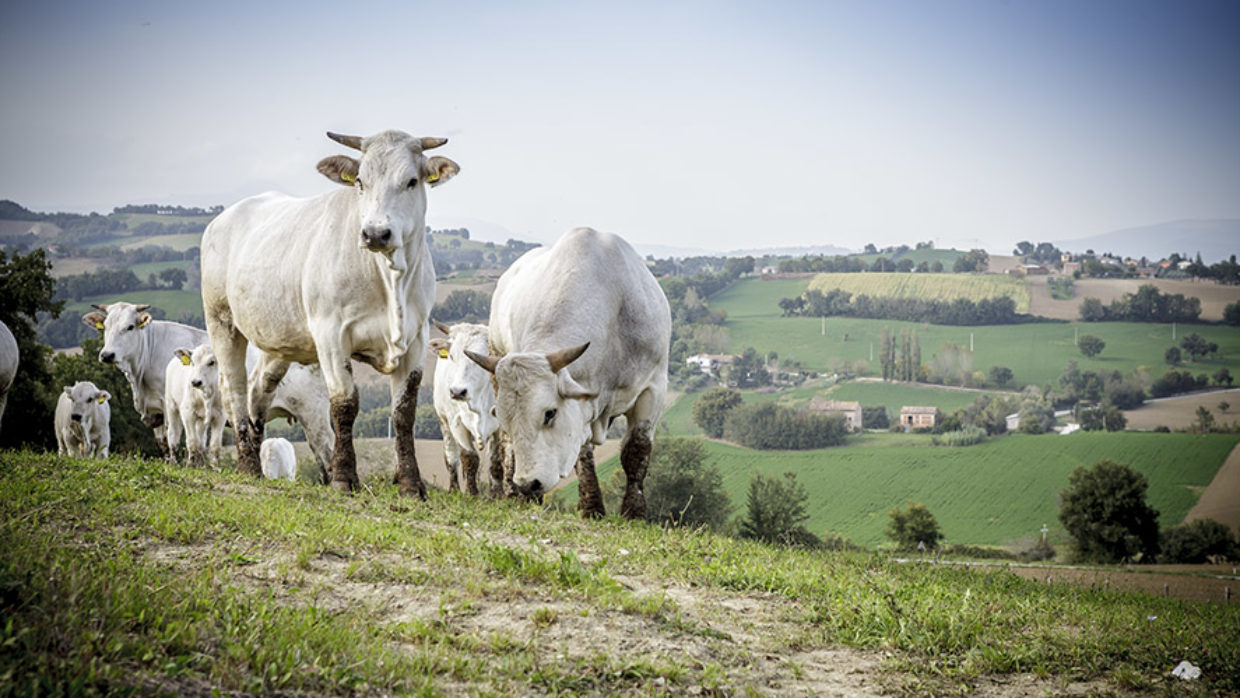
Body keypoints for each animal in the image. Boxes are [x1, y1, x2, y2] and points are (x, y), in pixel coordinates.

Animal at [84, 303, 337, 483]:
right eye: (105, 327)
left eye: (129, 327)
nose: (106, 355)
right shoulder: (157, 411)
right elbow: (166, 443)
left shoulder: (170, 405)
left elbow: (178, 438)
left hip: (314, 414)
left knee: (326, 449)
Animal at [200, 129, 458, 495]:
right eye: (360, 181)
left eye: (411, 181)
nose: (375, 233)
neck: (388, 278)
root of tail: (225, 216)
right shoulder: (331, 334)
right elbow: (344, 404)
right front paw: (343, 477)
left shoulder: (417, 339)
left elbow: (403, 412)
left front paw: (410, 483)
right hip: (221, 321)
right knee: (233, 389)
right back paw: (248, 464)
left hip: (278, 339)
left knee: (258, 390)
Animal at [429, 322, 500, 495]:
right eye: (452, 356)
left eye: (479, 359)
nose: (457, 391)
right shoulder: (456, 422)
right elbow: (469, 457)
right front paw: (472, 493)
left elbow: (495, 461)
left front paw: (497, 494)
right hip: (444, 421)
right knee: (451, 458)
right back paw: (454, 489)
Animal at [466, 229, 674, 518]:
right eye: (504, 417)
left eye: (550, 413)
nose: (527, 484)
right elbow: (583, 455)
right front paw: (592, 506)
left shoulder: (653, 388)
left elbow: (636, 450)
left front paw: (634, 511)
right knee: (506, 446)